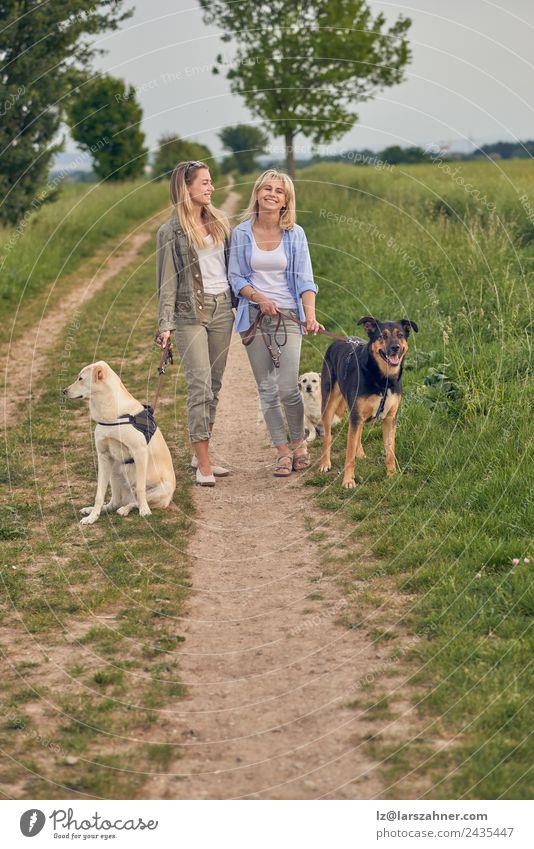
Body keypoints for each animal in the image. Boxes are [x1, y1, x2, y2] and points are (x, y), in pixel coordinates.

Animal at [63, 360, 176, 524]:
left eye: (80, 378)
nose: (64, 391)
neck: (111, 414)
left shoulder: (140, 453)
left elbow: (140, 490)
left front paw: (145, 510)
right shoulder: (103, 456)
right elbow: (99, 494)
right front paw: (92, 517)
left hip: (162, 488)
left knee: (134, 501)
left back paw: (126, 509)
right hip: (114, 473)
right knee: (114, 503)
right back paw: (92, 510)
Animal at [322, 316, 418, 490]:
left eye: (400, 335)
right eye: (382, 336)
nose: (395, 347)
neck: (383, 379)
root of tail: (336, 341)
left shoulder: (390, 419)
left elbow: (390, 451)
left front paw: (392, 476)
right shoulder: (356, 415)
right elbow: (349, 454)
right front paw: (348, 481)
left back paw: (359, 452)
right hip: (329, 403)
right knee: (327, 436)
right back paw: (325, 463)